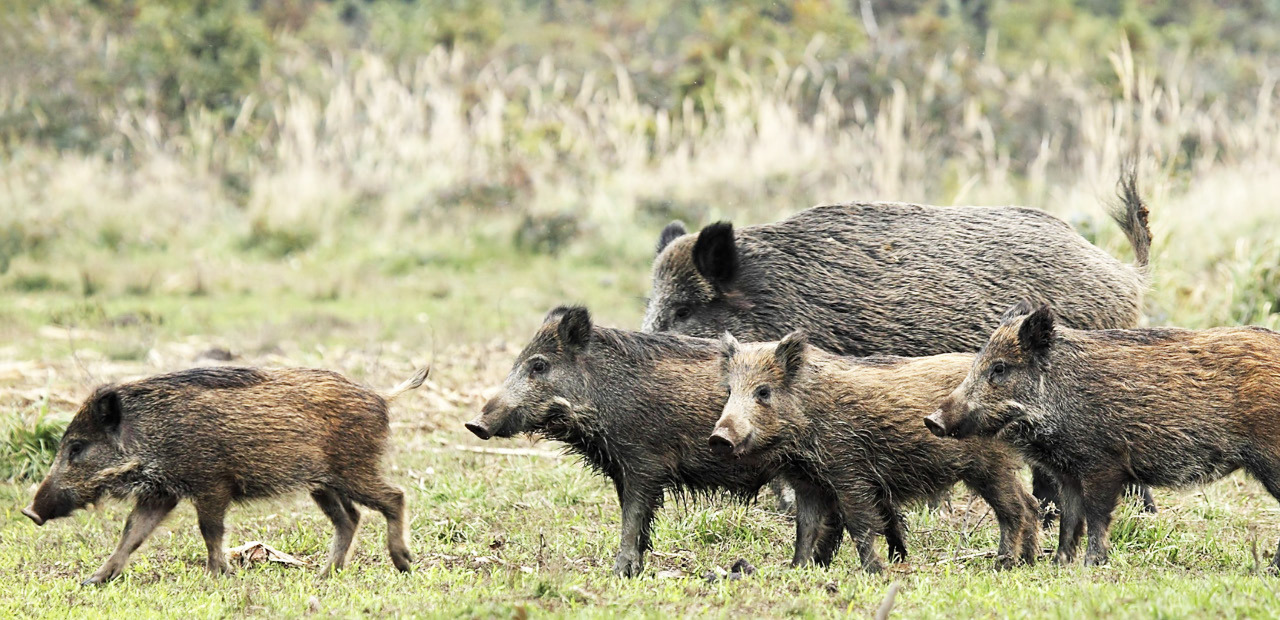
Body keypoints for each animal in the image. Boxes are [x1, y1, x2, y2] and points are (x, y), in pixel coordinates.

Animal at [22, 366, 428, 584]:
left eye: (77, 448)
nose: (31, 512)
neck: (153, 436)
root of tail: (382, 397)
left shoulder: (211, 483)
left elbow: (210, 530)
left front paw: (218, 575)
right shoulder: (161, 493)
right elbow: (131, 535)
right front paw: (93, 580)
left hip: (353, 469)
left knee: (395, 497)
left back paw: (403, 563)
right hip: (323, 483)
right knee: (350, 518)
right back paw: (324, 575)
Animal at [465, 307, 844, 577]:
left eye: (539, 365)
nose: (475, 424)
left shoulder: (644, 463)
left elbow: (631, 518)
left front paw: (619, 573)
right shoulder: (622, 468)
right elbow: (637, 519)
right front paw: (634, 570)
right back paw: (802, 570)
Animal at [713, 331, 1040, 573]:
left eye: (763, 391)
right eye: (729, 391)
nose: (719, 438)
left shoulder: (850, 473)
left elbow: (860, 524)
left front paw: (874, 571)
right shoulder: (808, 484)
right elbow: (804, 528)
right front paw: (797, 569)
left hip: (991, 466)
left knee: (1016, 509)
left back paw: (1002, 565)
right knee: (1031, 503)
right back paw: (1027, 562)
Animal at [925, 301, 1280, 569]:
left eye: (999, 368)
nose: (932, 421)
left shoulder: (1103, 464)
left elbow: (1096, 515)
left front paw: (1092, 564)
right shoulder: (1066, 473)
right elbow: (1070, 519)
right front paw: (1059, 564)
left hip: (1270, 458)